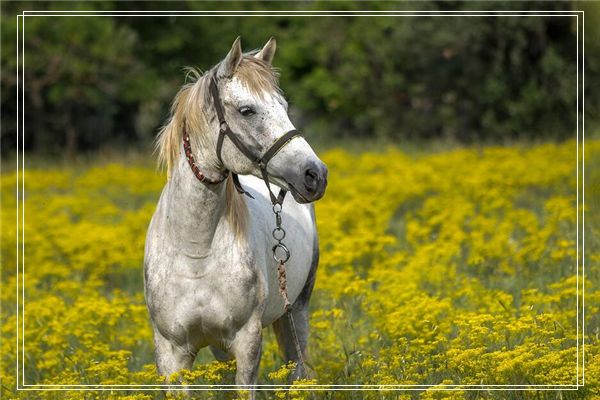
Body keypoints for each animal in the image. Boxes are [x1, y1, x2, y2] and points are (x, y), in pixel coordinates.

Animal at [143, 36, 328, 394]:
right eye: (247, 110)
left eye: (284, 107)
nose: (315, 175)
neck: (195, 251)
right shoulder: (171, 352)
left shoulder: (246, 341)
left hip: (296, 311)